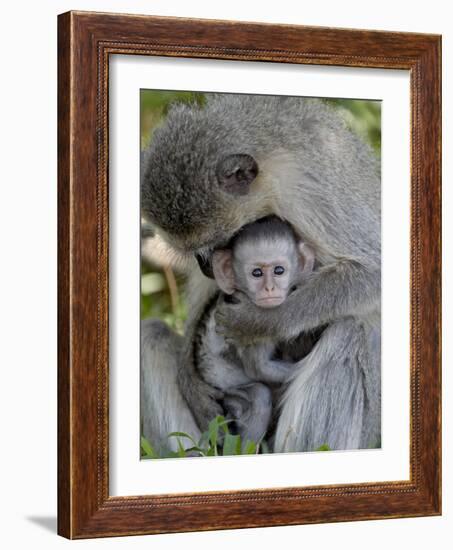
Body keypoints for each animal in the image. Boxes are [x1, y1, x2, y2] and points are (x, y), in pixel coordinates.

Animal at [194, 218, 314, 446]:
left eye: (279, 271)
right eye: (256, 273)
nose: (269, 289)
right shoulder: (252, 325)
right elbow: (259, 369)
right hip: (228, 393)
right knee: (259, 395)